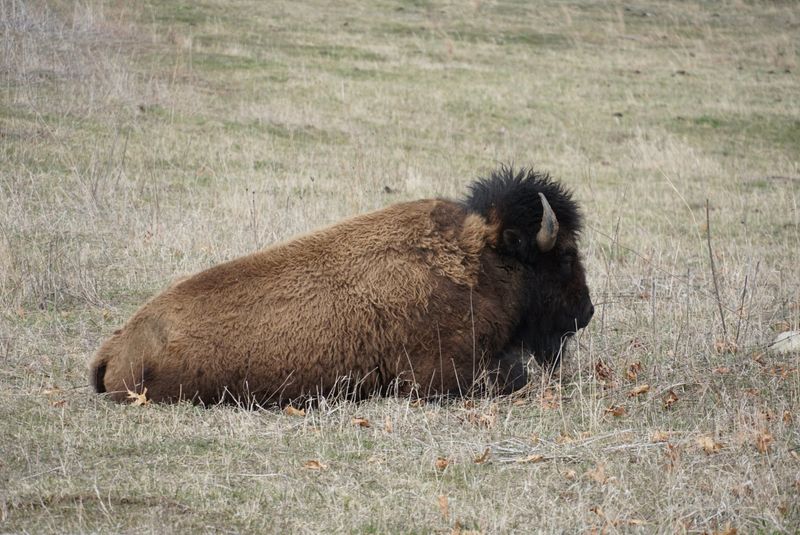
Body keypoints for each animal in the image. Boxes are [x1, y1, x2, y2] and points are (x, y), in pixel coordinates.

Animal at [90, 166, 593, 405]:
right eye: (566, 255)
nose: (586, 312)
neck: (482, 262)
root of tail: (116, 346)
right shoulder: (439, 376)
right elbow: (516, 375)